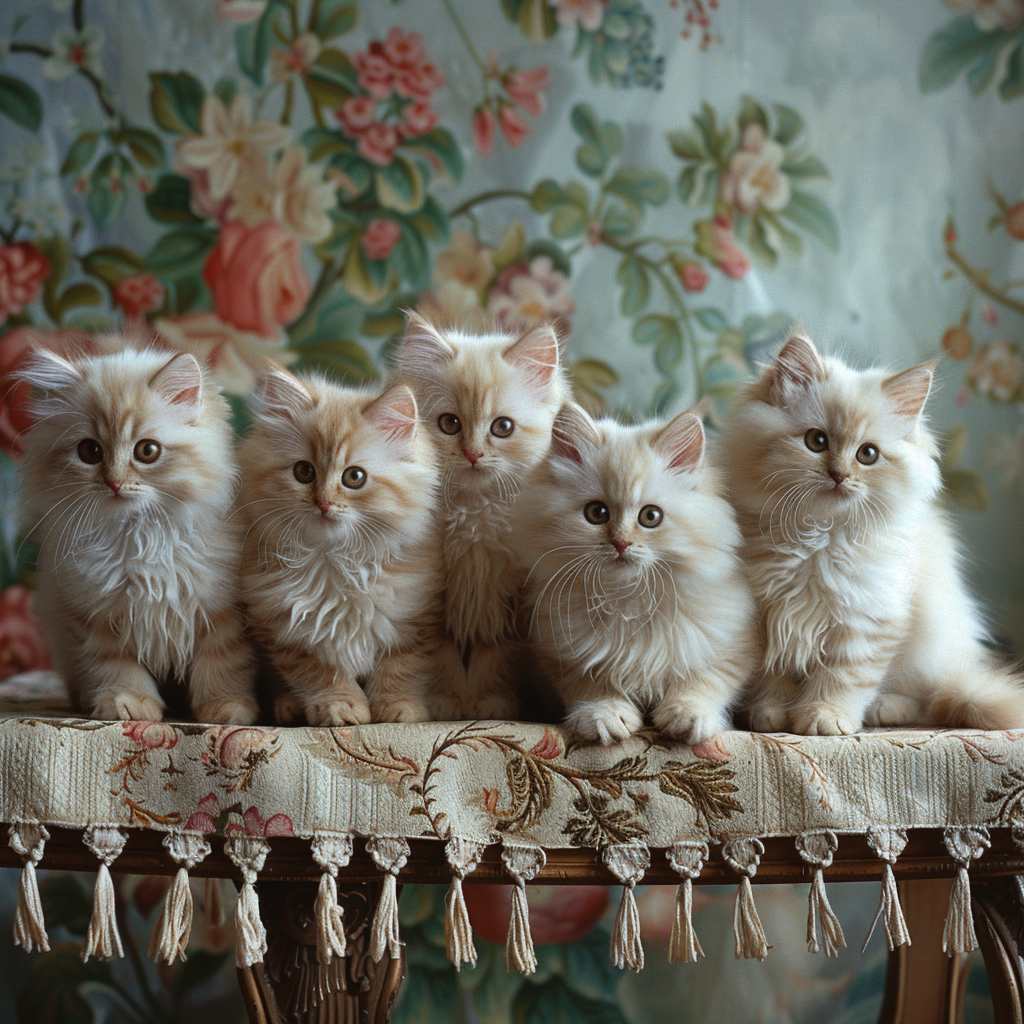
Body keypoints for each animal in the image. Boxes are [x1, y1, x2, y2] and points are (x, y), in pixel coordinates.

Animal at [17, 342, 256, 720]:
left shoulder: (219, 609)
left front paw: (226, 706)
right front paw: (127, 702)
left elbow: (222, 661)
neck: (141, 535)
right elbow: (116, 665)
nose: (114, 482)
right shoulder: (96, 611)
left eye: (147, 451)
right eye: (90, 451)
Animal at [239, 368, 452, 729]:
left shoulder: (415, 616)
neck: (337, 560)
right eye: (304, 472)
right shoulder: (288, 628)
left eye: (354, 477)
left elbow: (402, 667)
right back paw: (288, 706)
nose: (323, 503)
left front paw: (398, 707)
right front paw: (340, 707)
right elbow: (323, 673)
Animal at [393, 311, 569, 720]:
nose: (473, 454)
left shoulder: (509, 606)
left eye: (502, 427)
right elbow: (441, 658)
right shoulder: (435, 605)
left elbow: (496, 659)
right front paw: (445, 703)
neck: (474, 518)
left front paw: (490, 704)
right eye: (450, 424)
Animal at [516, 399, 757, 745]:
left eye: (650, 517)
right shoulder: (560, 651)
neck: (629, 600)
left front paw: (688, 716)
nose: (621, 543)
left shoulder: (732, 644)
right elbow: (591, 686)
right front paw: (604, 716)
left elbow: (704, 681)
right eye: (597, 513)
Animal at [724, 329, 1024, 737]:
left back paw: (884, 708)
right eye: (817, 441)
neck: (818, 539)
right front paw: (771, 715)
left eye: (867, 454)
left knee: (928, 702)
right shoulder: (768, 618)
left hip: (929, 647)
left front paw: (824, 717)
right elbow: (772, 677)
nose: (839, 475)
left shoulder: (868, 618)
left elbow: (843, 677)